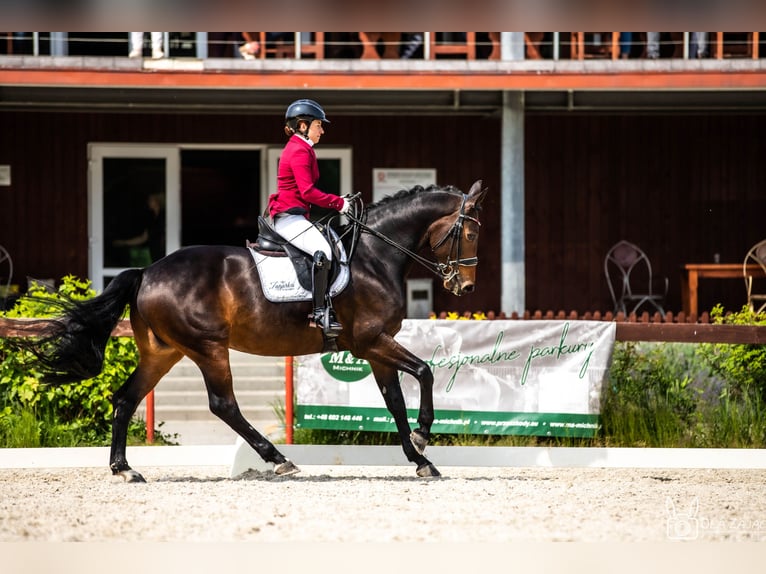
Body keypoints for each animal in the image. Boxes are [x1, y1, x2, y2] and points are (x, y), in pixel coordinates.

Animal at [18, 180, 488, 482]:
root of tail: (148, 272)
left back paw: (125, 469)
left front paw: (419, 457)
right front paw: (424, 438)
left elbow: (394, 402)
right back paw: (278, 458)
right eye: (468, 232)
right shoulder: (372, 341)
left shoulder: (375, 349)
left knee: (126, 399)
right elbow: (424, 372)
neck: (374, 254)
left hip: (163, 352)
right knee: (223, 404)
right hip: (208, 348)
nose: (464, 286)